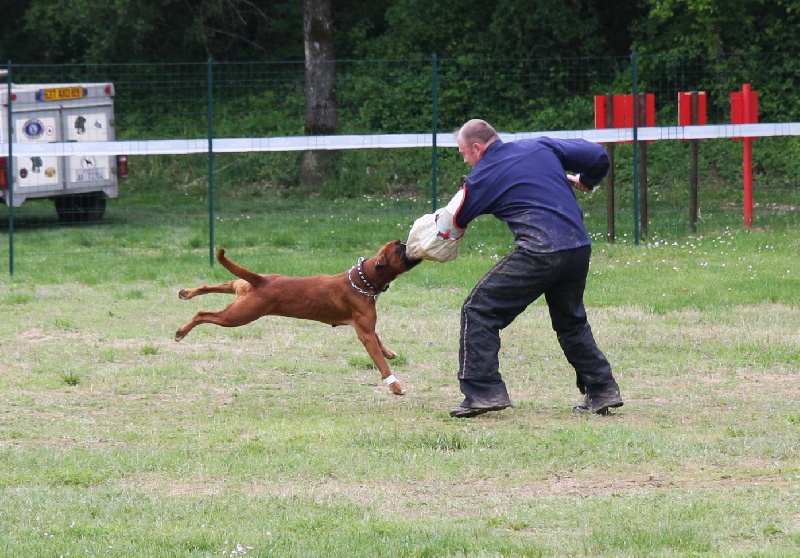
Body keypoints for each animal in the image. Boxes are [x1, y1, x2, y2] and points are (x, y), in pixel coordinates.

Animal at [175, 243, 422, 396]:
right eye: (399, 248)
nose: (407, 243)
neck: (362, 280)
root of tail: (261, 281)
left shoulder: (367, 327)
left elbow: (380, 343)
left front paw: (389, 352)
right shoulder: (365, 332)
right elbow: (381, 363)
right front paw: (395, 386)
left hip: (239, 293)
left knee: (212, 287)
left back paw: (187, 293)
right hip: (237, 316)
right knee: (203, 314)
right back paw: (181, 332)